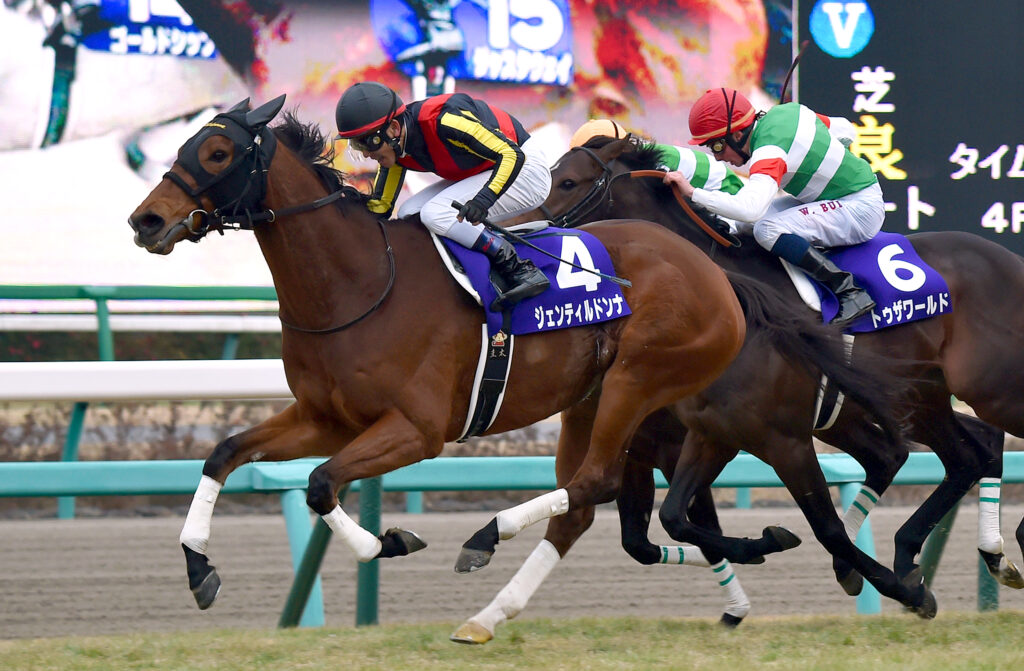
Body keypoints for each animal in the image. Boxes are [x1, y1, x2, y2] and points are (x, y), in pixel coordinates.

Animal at [127, 95, 754, 612]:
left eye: (217, 152)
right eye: (184, 146)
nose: (145, 220)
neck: (359, 284)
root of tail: (712, 271)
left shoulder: (417, 429)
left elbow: (322, 483)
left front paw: (390, 541)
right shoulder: (325, 418)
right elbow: (224, 454)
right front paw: (198, 566)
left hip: (637, 379)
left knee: (596, 481)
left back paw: (486, 538)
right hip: (590, 397)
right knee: (585, 498)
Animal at [529, 136, 1024, 596]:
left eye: (568, 181)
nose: (528, 230)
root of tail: (1009, 259)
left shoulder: (757, 431)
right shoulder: (699, 431)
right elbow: (665, 521)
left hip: (984, 389)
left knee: (962, 449)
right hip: (915, 398)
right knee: (962, 452)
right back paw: (944, 556)